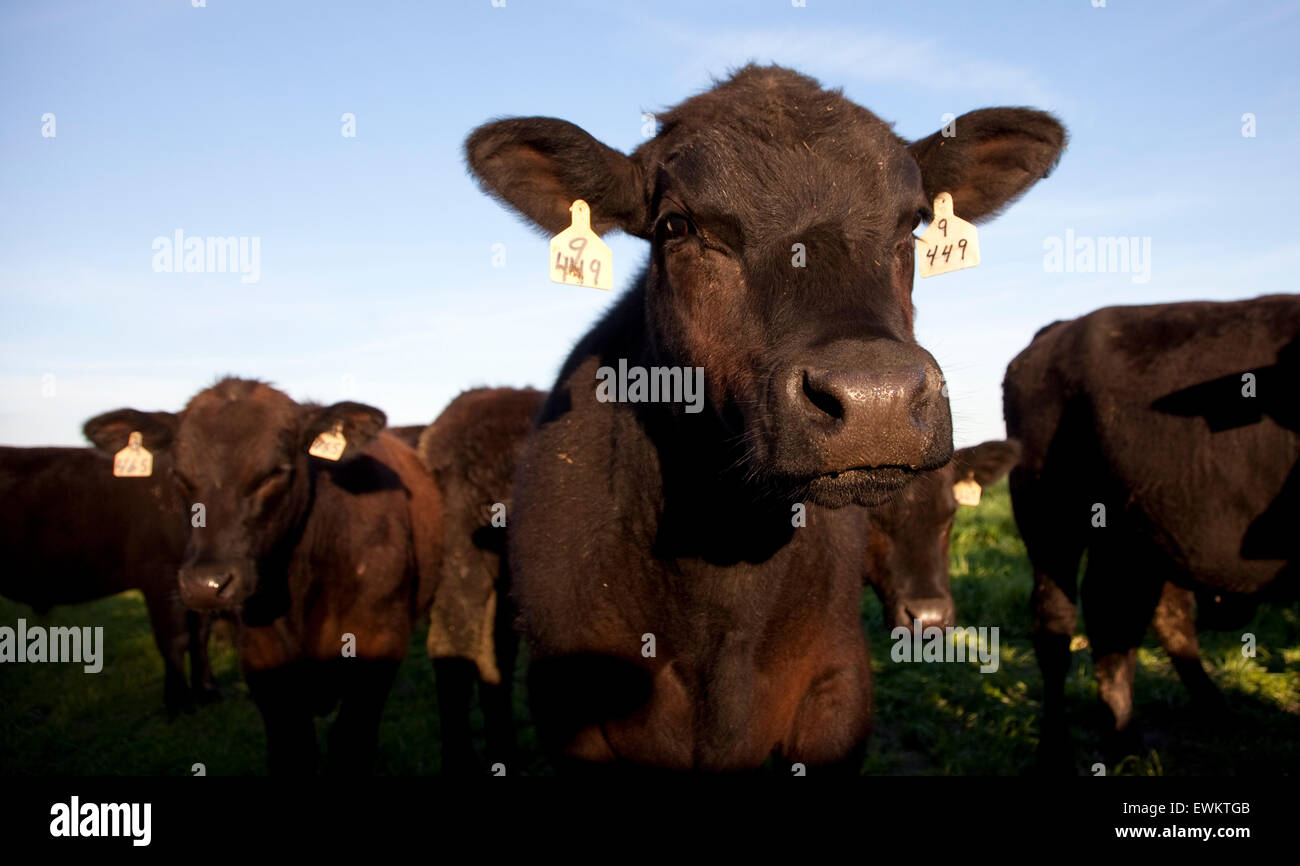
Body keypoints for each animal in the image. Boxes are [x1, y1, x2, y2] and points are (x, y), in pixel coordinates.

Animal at [1003, 293, 1300, 764]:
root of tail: (1057, 331)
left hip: (1138, 535)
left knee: (1128, 616)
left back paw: (1147, 734)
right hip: (1052, 523)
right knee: (1057, 625)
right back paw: (1057, 749)